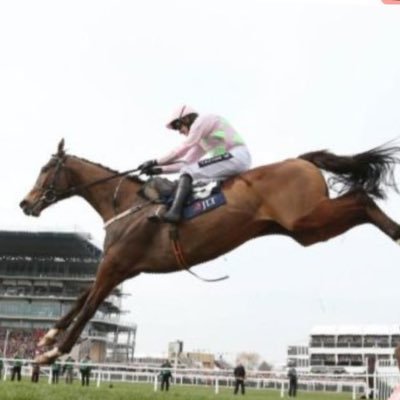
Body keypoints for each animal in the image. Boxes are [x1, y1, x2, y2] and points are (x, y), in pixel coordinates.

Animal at [20, 139, 400, 364]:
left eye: (45, 169)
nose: (26, 203)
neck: (128, 205)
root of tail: (300, 160)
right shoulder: (121, 267)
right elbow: (80, 299)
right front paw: (48, 336)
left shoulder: (115, 265)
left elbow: (88, 308)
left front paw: (51, 352)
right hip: (307, 230)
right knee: (359, 204)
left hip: (309, 218)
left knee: (362, 199)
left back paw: (396, 232)